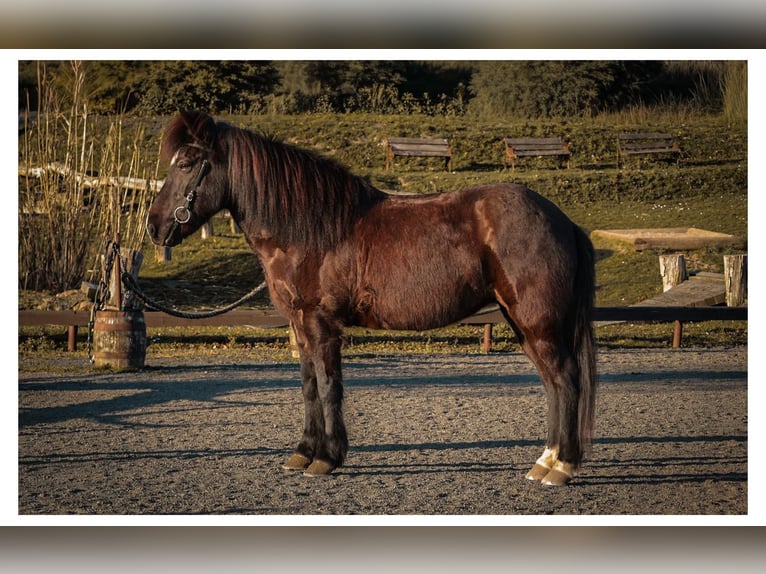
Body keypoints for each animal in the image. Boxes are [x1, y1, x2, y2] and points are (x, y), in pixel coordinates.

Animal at [146, 110, 597, 486]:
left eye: (186, 164)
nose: (154, 227)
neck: (310, 230)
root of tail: (561, 219)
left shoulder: (322, 323)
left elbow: (329, 385)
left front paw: (326, 459)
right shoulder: (299, 324)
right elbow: (308, 386)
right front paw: (302, 453)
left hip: (538, 323)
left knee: (566, 380)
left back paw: (561, 467)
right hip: (523, 324)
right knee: (553, 384)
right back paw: (545, 461)